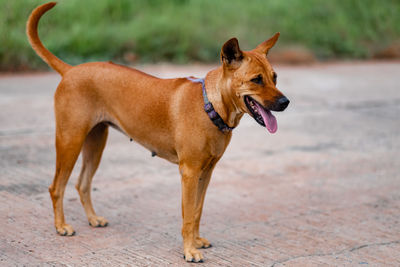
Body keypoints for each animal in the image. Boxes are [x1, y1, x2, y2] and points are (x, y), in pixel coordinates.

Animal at [27, 2, 290, 264]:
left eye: (275, 77)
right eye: (256, 80)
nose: (286, 102)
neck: (210, 106)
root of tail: (70, 71)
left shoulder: (206, 172)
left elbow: (197, 211)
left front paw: (196, 241)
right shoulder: (189, 173)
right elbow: (187, 216)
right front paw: (189, 251)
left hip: (95, 143)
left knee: (82, 184)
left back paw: (93, 219)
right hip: (70, 141)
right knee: (56, 187)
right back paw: (61, 226)